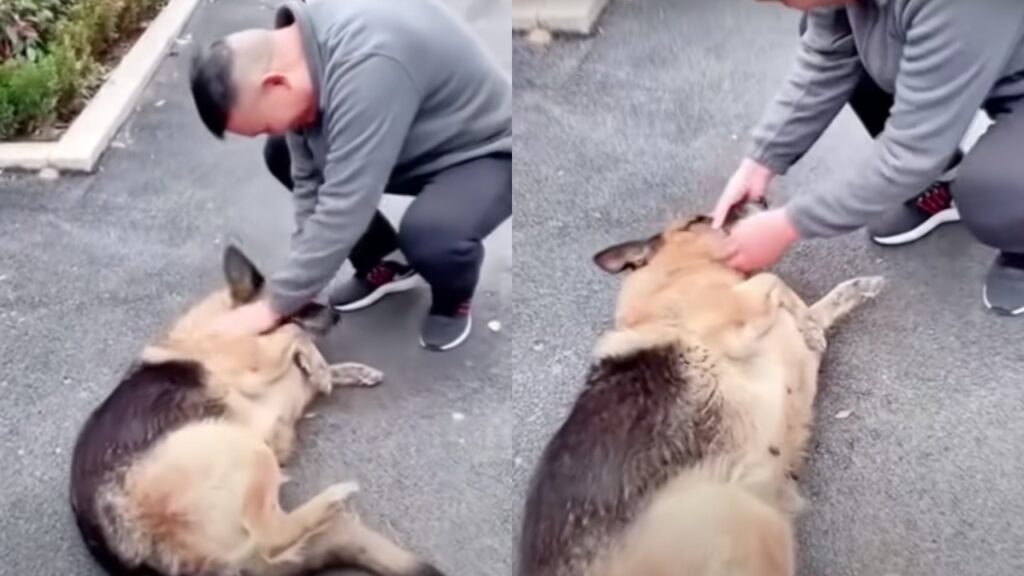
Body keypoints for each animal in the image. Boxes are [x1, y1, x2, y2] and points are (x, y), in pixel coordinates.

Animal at [68, 243, 444, 573]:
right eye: (302, 301)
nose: (336, 315)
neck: (225, 325)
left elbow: (307, 357)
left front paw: (342, 370)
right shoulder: (253, 361)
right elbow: (296, 335)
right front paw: (320, 366)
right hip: (245, 449)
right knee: (269, 538)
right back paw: (331, 499)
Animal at [516, 202, 884, 573]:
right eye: (697, 221)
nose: (762, 200)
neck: (674, 280)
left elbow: (815, 303)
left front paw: (847, 296)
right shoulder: (740, 322)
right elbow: (775, 281)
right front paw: (808, 322)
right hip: (748, 515)